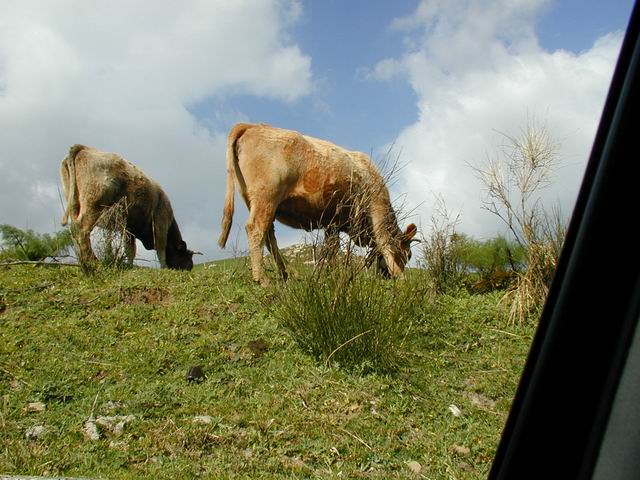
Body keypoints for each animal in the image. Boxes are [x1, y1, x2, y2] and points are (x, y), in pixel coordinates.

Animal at [60, 142, 195, 270]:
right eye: (187, 257)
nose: (190, 267)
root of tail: (85, 148)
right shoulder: (160, 223)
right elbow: (160, 248)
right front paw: (164, 267)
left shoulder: (129, 229)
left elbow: (130, 249)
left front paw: (129, 265)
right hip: (93, 205)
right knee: (81, 229)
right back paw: (93, 262)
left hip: (75, 205)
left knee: (74, 231)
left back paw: (82, 261)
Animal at [219, 124, 420, 286]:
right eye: (407, 255)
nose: (386, 276)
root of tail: (251, 126)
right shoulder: (376, 206)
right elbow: (384, 241)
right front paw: (401, 277)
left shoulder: (333, 223)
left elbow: (332, 249)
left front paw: (332, 275)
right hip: (266, 195)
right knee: (256, 229)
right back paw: (262, 279)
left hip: (258, 200)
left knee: (269, 235)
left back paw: (287, 273)